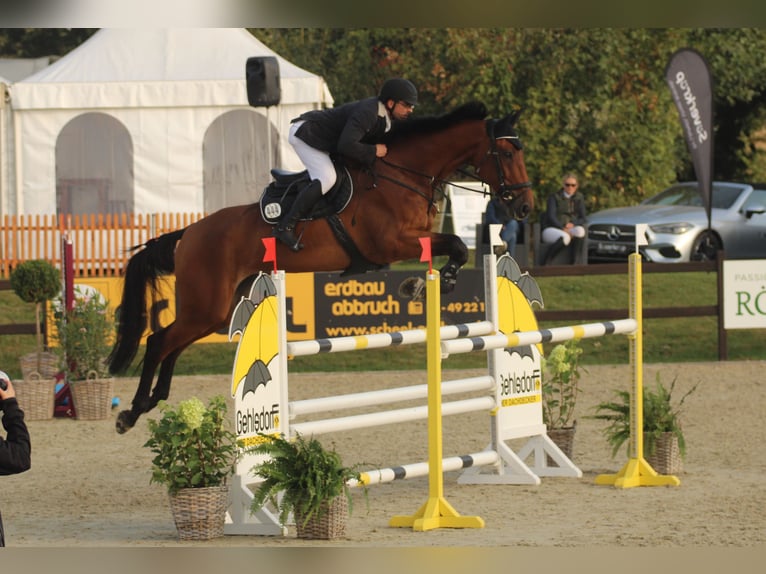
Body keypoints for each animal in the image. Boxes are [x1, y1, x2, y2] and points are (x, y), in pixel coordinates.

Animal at [108, 101, 533, 433]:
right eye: (507, 154)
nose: (525, 207)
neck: (403, 174)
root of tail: (190, 231)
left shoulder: (417, 238)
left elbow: (454, 247)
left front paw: (425, 284)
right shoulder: (392, 242)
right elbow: (457, 244)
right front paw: (430, 283)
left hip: (218, 309)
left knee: (173, 343)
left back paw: (153, 399)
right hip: (207, 302)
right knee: (158, 341)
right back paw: (131, 412)